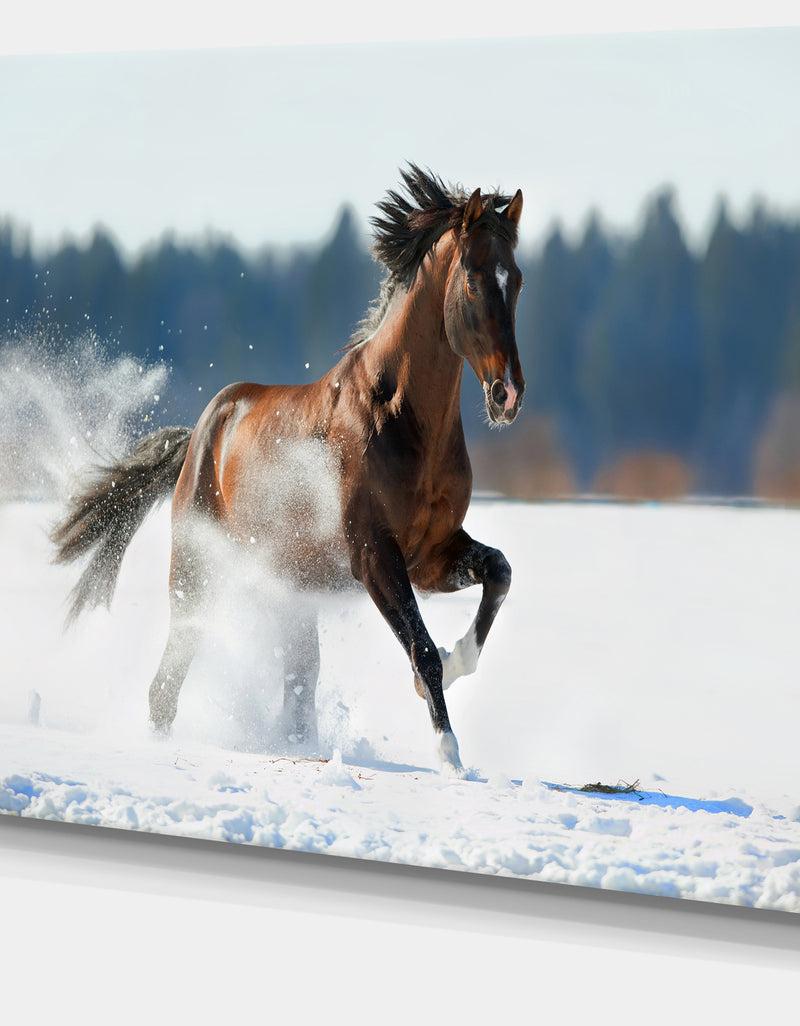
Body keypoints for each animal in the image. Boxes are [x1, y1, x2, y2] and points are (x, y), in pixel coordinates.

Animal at [51, 165, 526, 775]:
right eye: (471, 279)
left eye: (516, 280)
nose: (507, 394)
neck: (398, 417)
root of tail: (203, 432)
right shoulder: (375, 557)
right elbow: (421, 647)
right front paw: (449, 753)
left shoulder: (432, 553)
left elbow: (499, 572)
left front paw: (458, 659)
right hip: (197, 577)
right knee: (167, 683)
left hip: (291, 593)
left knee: (296, 688)